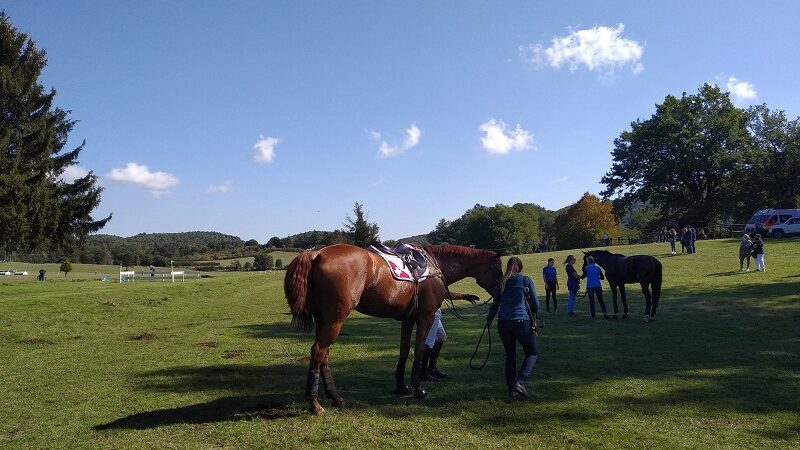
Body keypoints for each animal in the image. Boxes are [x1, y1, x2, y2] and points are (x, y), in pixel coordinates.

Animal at [286, 244, 500, 414]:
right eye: (498, 269)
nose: (500, 291)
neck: (434, 266)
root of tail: (317, 253)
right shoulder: (426, 318)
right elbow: (419, 351)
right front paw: (418, 389)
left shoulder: (408, 319)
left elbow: (404, 350)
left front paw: (401, 385)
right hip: (335, 319)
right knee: (318, 351)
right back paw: (315, 403)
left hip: (324, 319)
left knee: (324, 354)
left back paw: (335, 397)